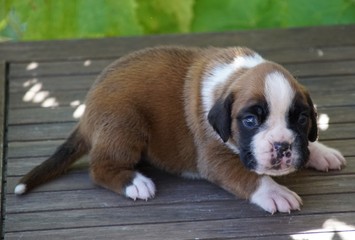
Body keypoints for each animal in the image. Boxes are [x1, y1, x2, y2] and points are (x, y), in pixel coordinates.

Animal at [15, 46, 346, 214]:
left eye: (301, 119)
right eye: (250, 121)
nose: (282, 146)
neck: (233, 75)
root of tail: (86, 113)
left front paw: (320, 151)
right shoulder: (215, 159)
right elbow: (250, 177)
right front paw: (275, 192)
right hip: (126, 122)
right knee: (99, 169)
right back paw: (134, 182)